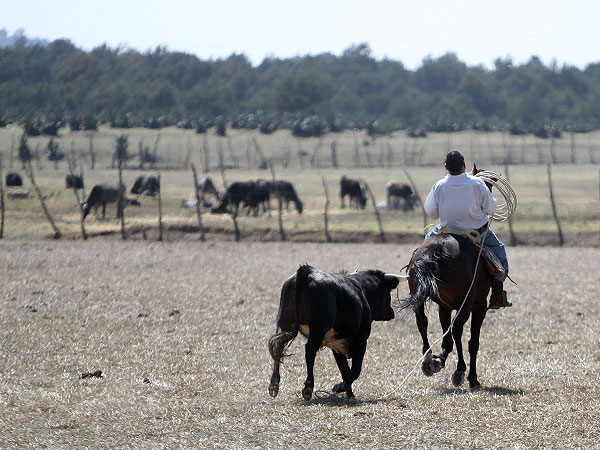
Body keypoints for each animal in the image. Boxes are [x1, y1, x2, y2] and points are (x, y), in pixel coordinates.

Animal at [268, 264, 400, 400]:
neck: (362, 290)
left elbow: (345, 370)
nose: (391, 312)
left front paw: (349, 393)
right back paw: (308, 387)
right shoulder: (361, 340)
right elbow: (355, 369)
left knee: (278, 347)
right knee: (309, 350)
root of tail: (307, 271)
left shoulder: (336, 345)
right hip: (318, 330)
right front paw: (342, 387)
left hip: (285, 323)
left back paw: (274, 384)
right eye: (388, 292)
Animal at [400, 164, 500, 386]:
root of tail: (436, 249)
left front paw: (440, 359)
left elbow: (446, 339)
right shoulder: (479, 305)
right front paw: (472, 378)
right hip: (467, 302)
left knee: (422, 321)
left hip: (421, 295)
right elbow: (472, 341)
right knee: (458, 329)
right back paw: (460, 370)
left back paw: (428, 359)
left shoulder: (443, 305)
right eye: (488, 187)